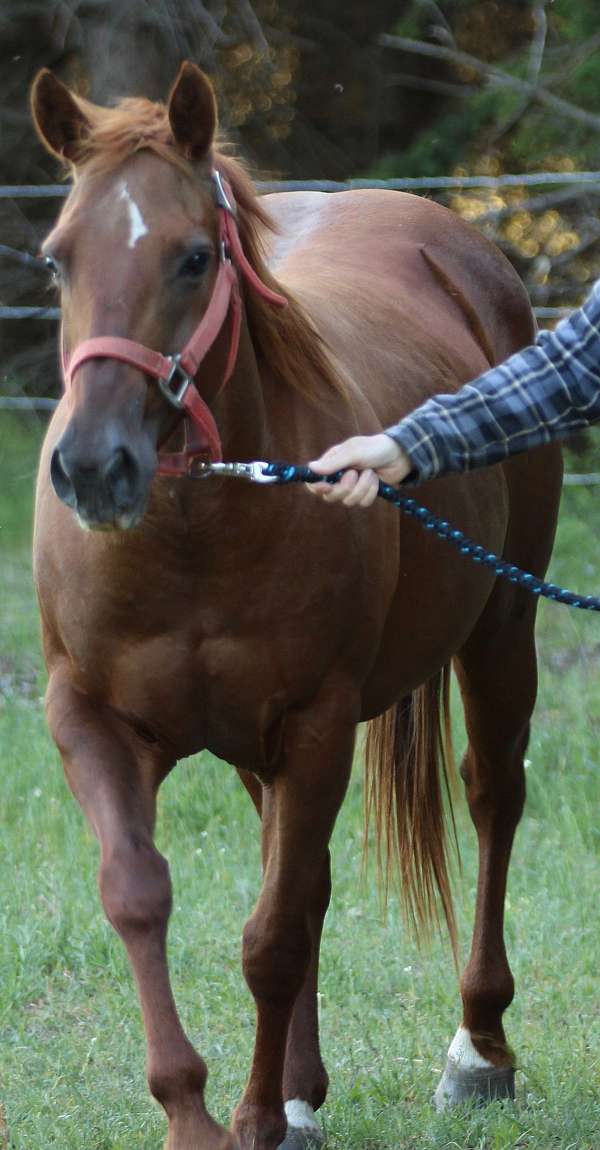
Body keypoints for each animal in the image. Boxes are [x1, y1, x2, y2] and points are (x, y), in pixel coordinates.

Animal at [31, 62, 562, 1150]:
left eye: (194, 259)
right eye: (58, 260)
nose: (93, 467)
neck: (194, 531)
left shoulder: (317, 722)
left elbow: (273, 932)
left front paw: (252, 1116)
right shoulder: (90, 721)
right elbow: (140, 895)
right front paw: (199, 1113)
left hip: (501, 631)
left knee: (492, 796)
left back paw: (477, 1052)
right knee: (303, 871)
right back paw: (304, 1088)